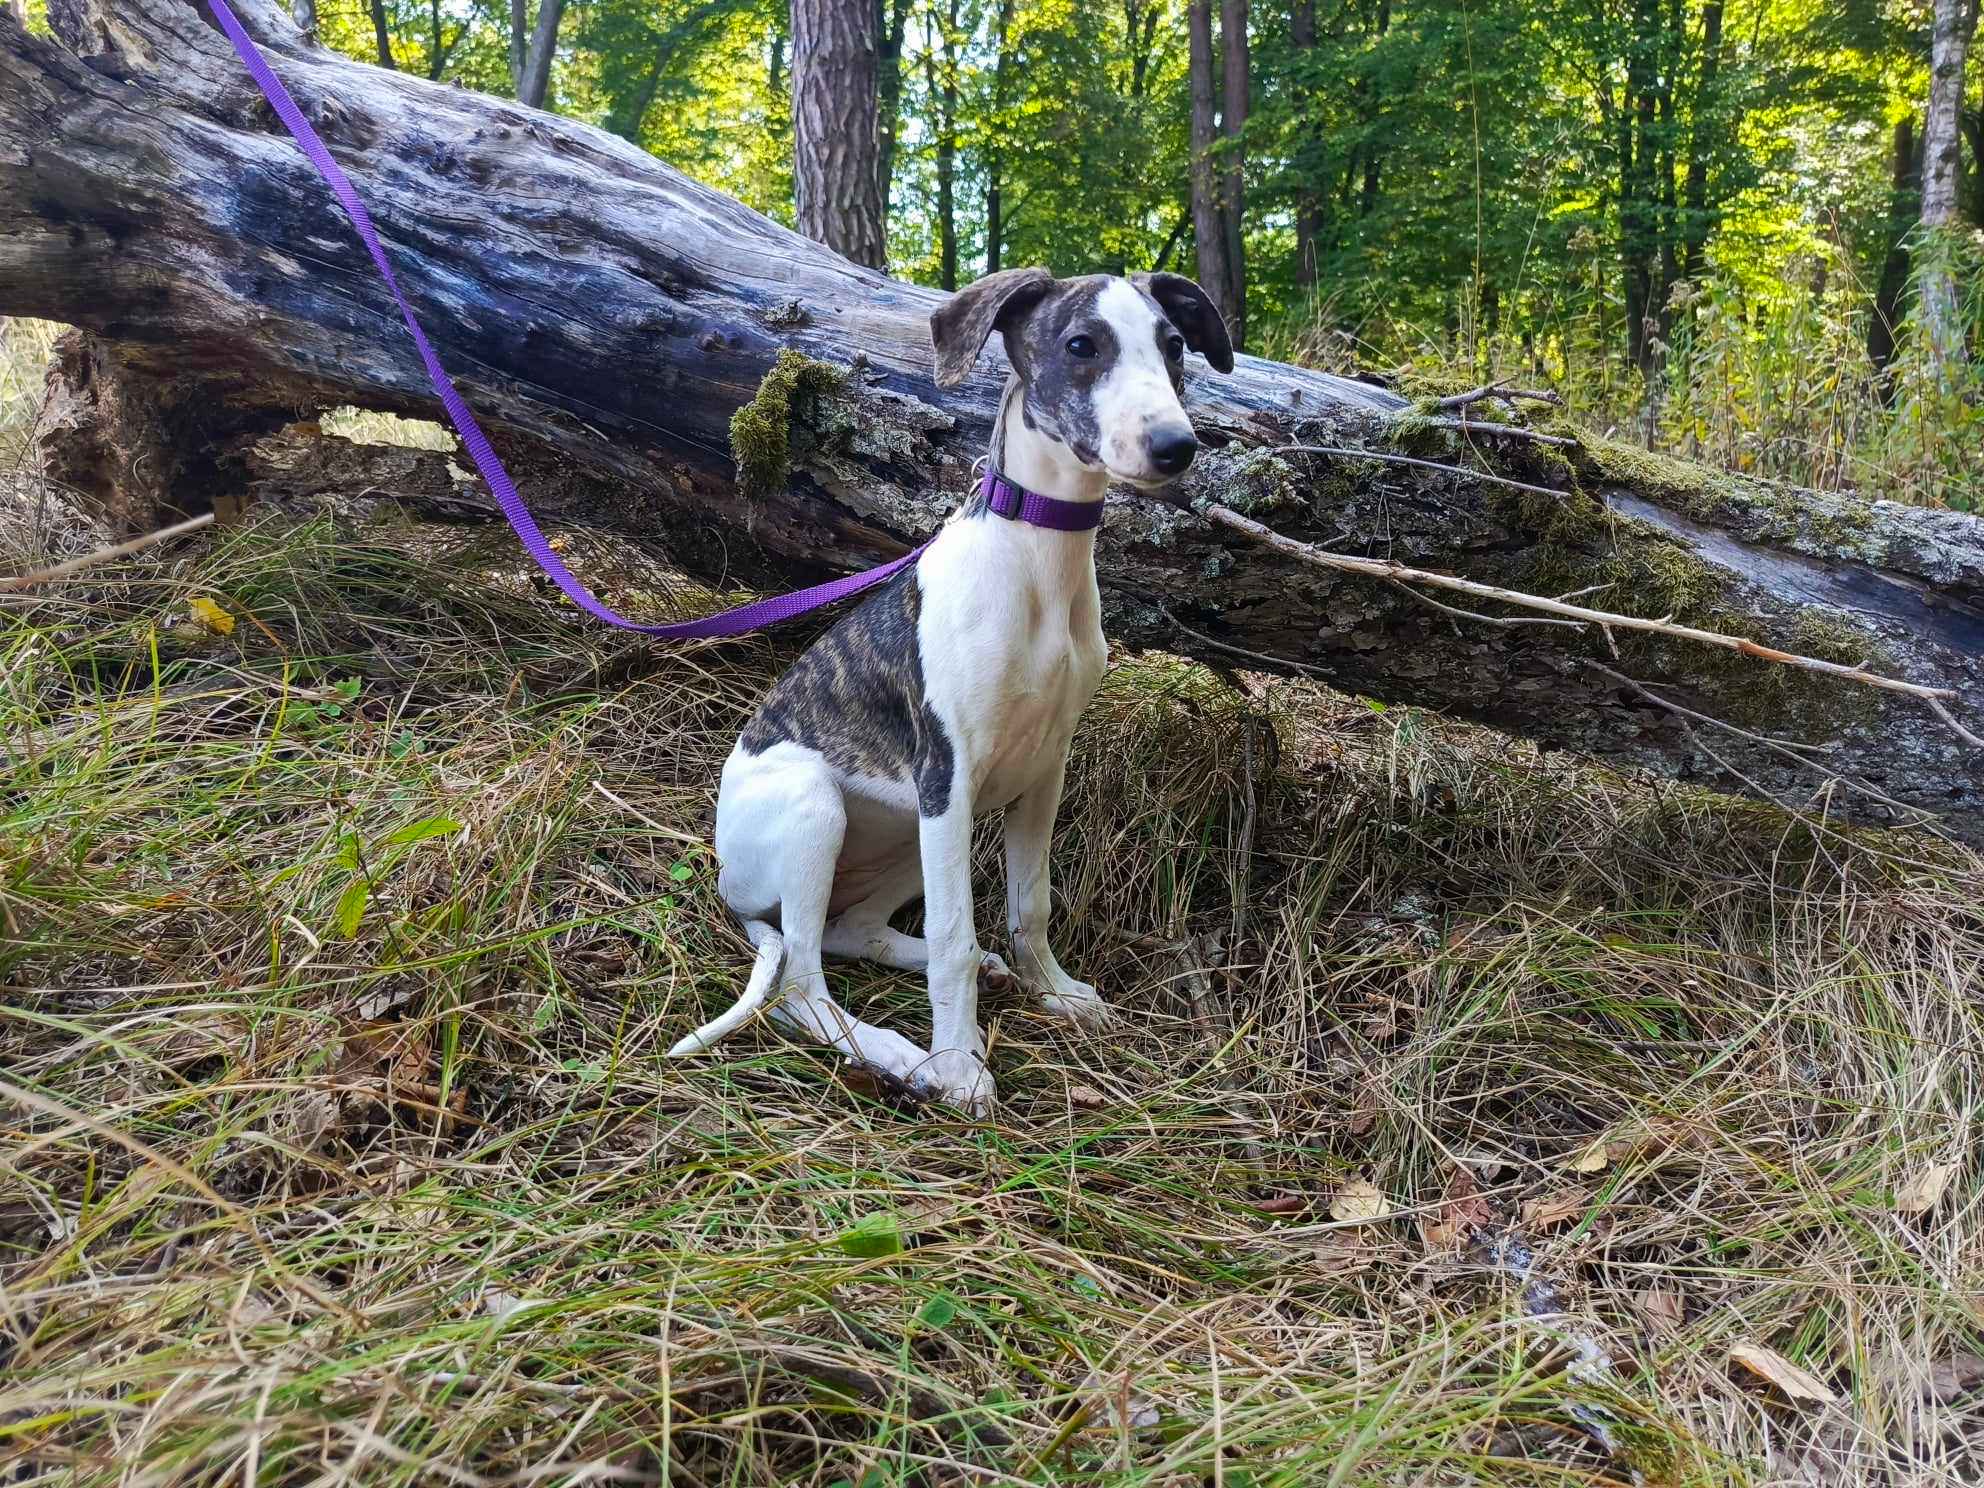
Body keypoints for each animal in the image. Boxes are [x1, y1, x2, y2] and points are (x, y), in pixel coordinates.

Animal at [674, 267, 1230, 1111]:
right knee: (801, 986)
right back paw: (897, 1055)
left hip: (917, 832)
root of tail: (732, 888)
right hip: (822, 810)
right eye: (1081, 345)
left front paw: (1053, 990)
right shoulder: (950, 768)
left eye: (1174, 348)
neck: (1036, 558)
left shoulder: (1042, 771)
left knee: (847, 932)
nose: (1177, 447)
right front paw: (962, 1062)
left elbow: (1029, 904)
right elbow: (952, 938)